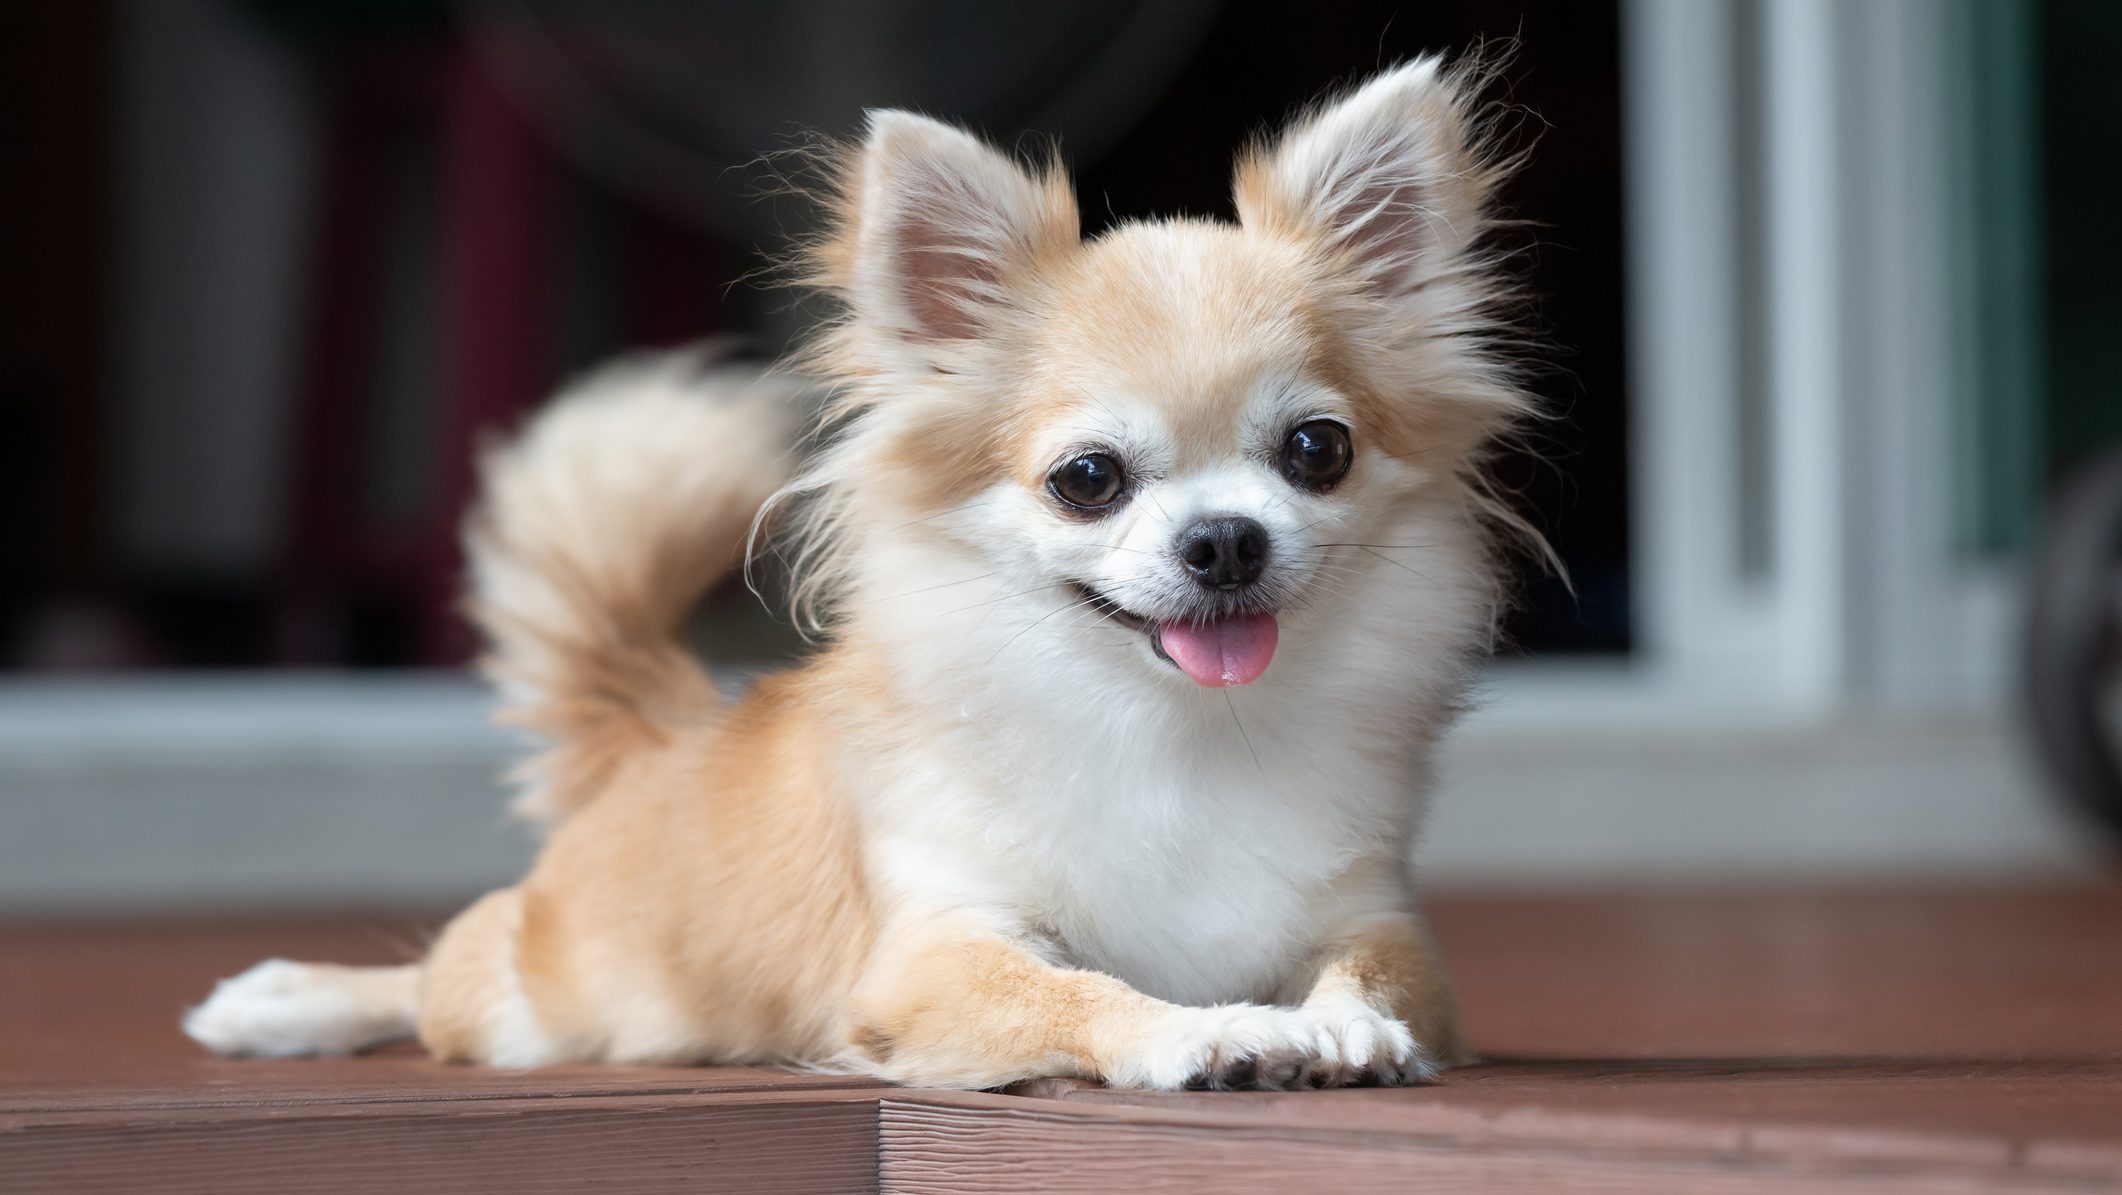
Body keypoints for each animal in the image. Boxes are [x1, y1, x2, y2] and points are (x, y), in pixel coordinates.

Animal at [186, 60, 1527, 1095]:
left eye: (1317, 450)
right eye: (1087, 478)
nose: (1225, 540)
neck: (1175, 730)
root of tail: (668, 729)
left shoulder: (1376, 919)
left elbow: (1368, 972)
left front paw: (1341, 1024)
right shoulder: (938, 951)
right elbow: (1087, 991)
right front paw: (1219, 1030)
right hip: (534, 1004)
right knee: (433, 976)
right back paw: (286, 1000)